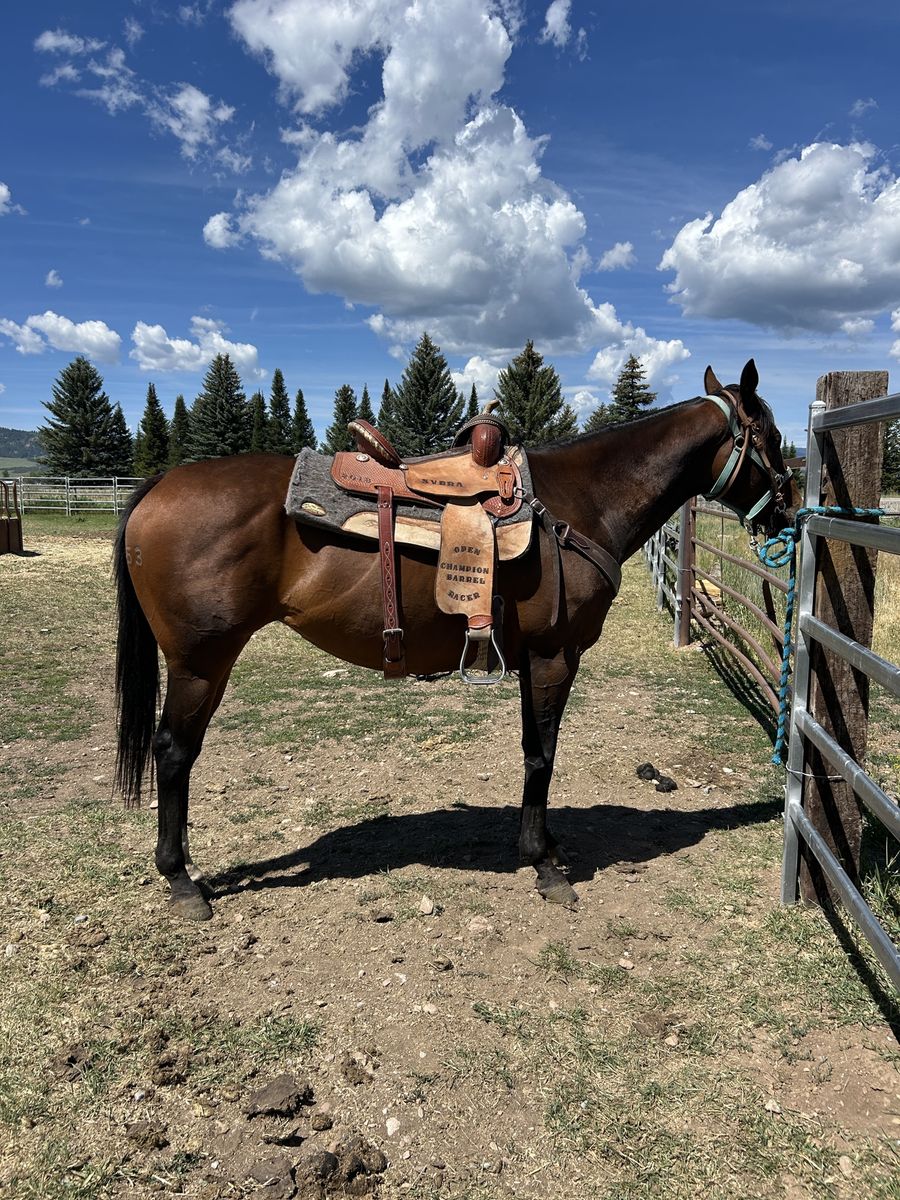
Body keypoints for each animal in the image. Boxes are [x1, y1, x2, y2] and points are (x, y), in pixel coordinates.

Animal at [114, 360, 797, 921]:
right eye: (771, 439)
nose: (788, 514)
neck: (581, 504)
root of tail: (160, 485)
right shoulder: (553, 657)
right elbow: (541, 757)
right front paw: (544, 864)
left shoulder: (532, 661)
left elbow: (535, 751)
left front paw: (545, 848)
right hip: (202, 663)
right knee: (173, 752)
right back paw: (182, 882)